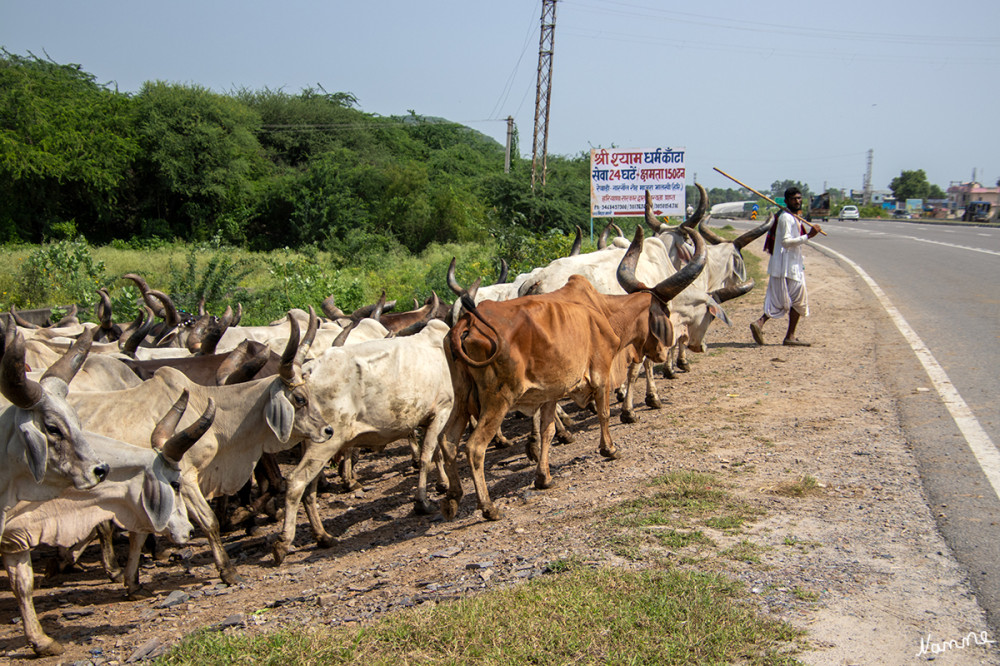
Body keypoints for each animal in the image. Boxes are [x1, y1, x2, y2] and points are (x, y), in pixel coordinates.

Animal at [442, 226, 708, 520]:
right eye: (666, 312)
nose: (663, 351)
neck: (604, 312)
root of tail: (466, 322)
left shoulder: (550, 393)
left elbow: (546, 430)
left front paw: (544, 477)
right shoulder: (601, 372)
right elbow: (604, 412)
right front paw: (609, 448)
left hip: (462, 398)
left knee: (448, 442)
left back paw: (452, 498)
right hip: (497, 399)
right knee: (474, 447)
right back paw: (488, 506)